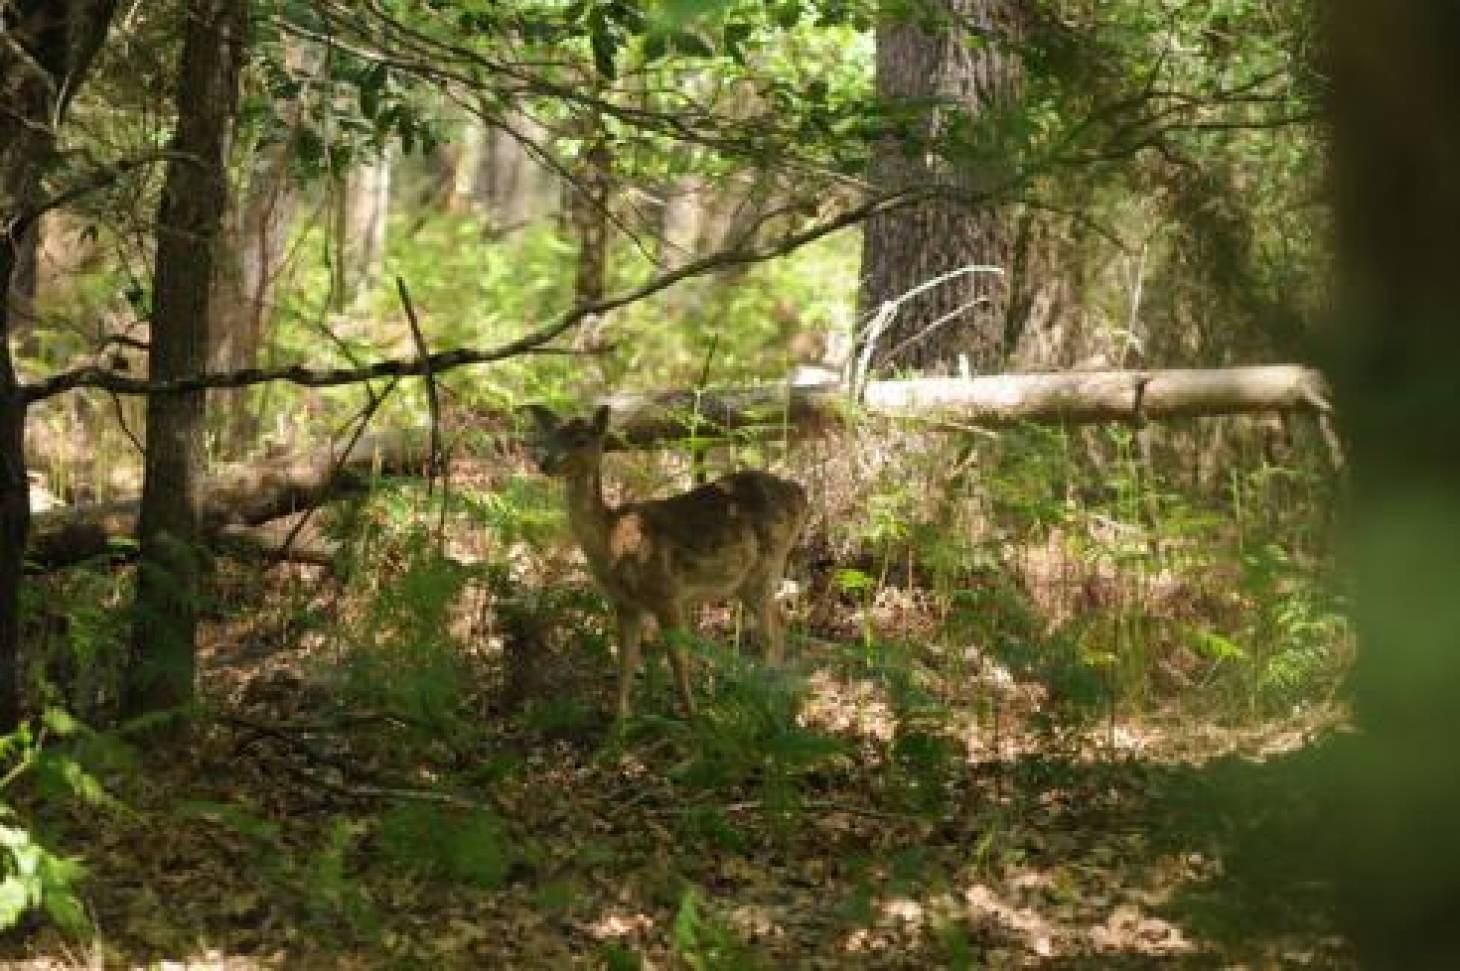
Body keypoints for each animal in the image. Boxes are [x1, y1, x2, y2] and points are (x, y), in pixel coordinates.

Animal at [525, 403, 811, 718]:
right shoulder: (625, 604)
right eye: (550, 436)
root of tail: (800, 494)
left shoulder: (666, 594)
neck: (612, 539)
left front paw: (693, 717)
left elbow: (677, 660)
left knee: (770, 634)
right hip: (755, 578)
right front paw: (619, 722)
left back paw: (763, 706)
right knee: (779, 627)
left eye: (581, 440)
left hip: (763, 568)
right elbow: (625, 662)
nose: (544, 463)